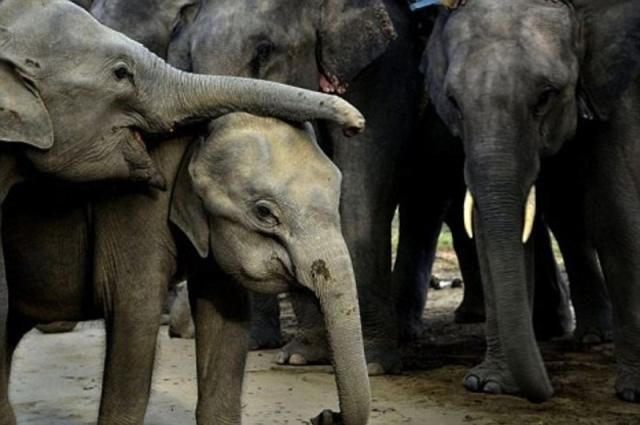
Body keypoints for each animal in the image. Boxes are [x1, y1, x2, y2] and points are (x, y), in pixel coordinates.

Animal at [2, 112, 370, 424]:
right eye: (265, 213)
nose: (325, 415)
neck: (195, 138)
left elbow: (226, 322)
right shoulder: (134, 208)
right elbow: (135, 315)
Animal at [424, 0, 640, 402]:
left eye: (545, 95)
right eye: (453, 102)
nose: (549, 392)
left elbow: (615, 213)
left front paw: (634, 392)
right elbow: (488, 226)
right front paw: (488, 384)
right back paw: (590, 338)